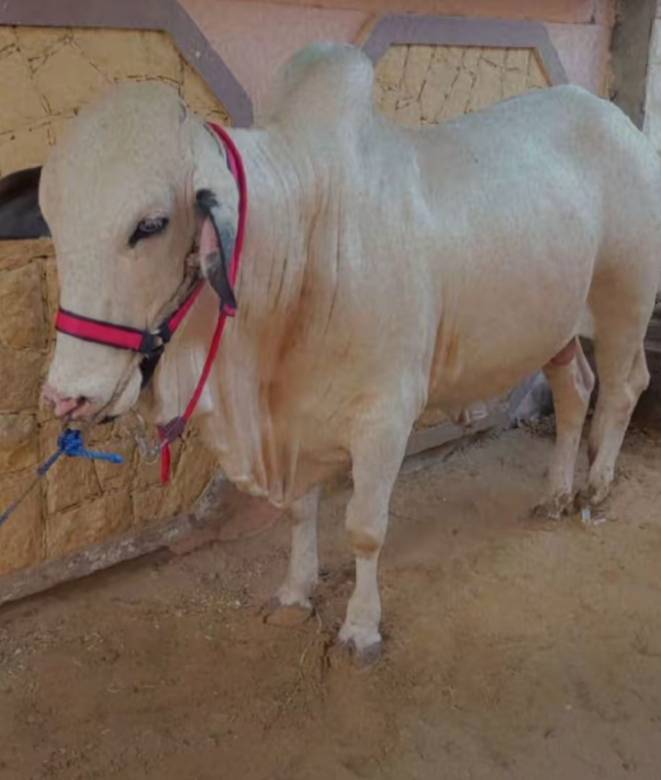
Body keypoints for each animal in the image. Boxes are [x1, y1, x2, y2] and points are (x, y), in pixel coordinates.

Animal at [1, 44, 659, 663]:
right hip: (559, 328)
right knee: (575, 390)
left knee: (623, 388)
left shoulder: (385, 417)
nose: (68, 395)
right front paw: (296, 593)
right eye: (53, 222)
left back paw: (596, 488)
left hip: (624, 307)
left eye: (151, 224)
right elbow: (300, 513)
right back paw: (555, 495)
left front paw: (360, 628)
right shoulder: (297, 421)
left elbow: (365, 529)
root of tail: (619, 123)